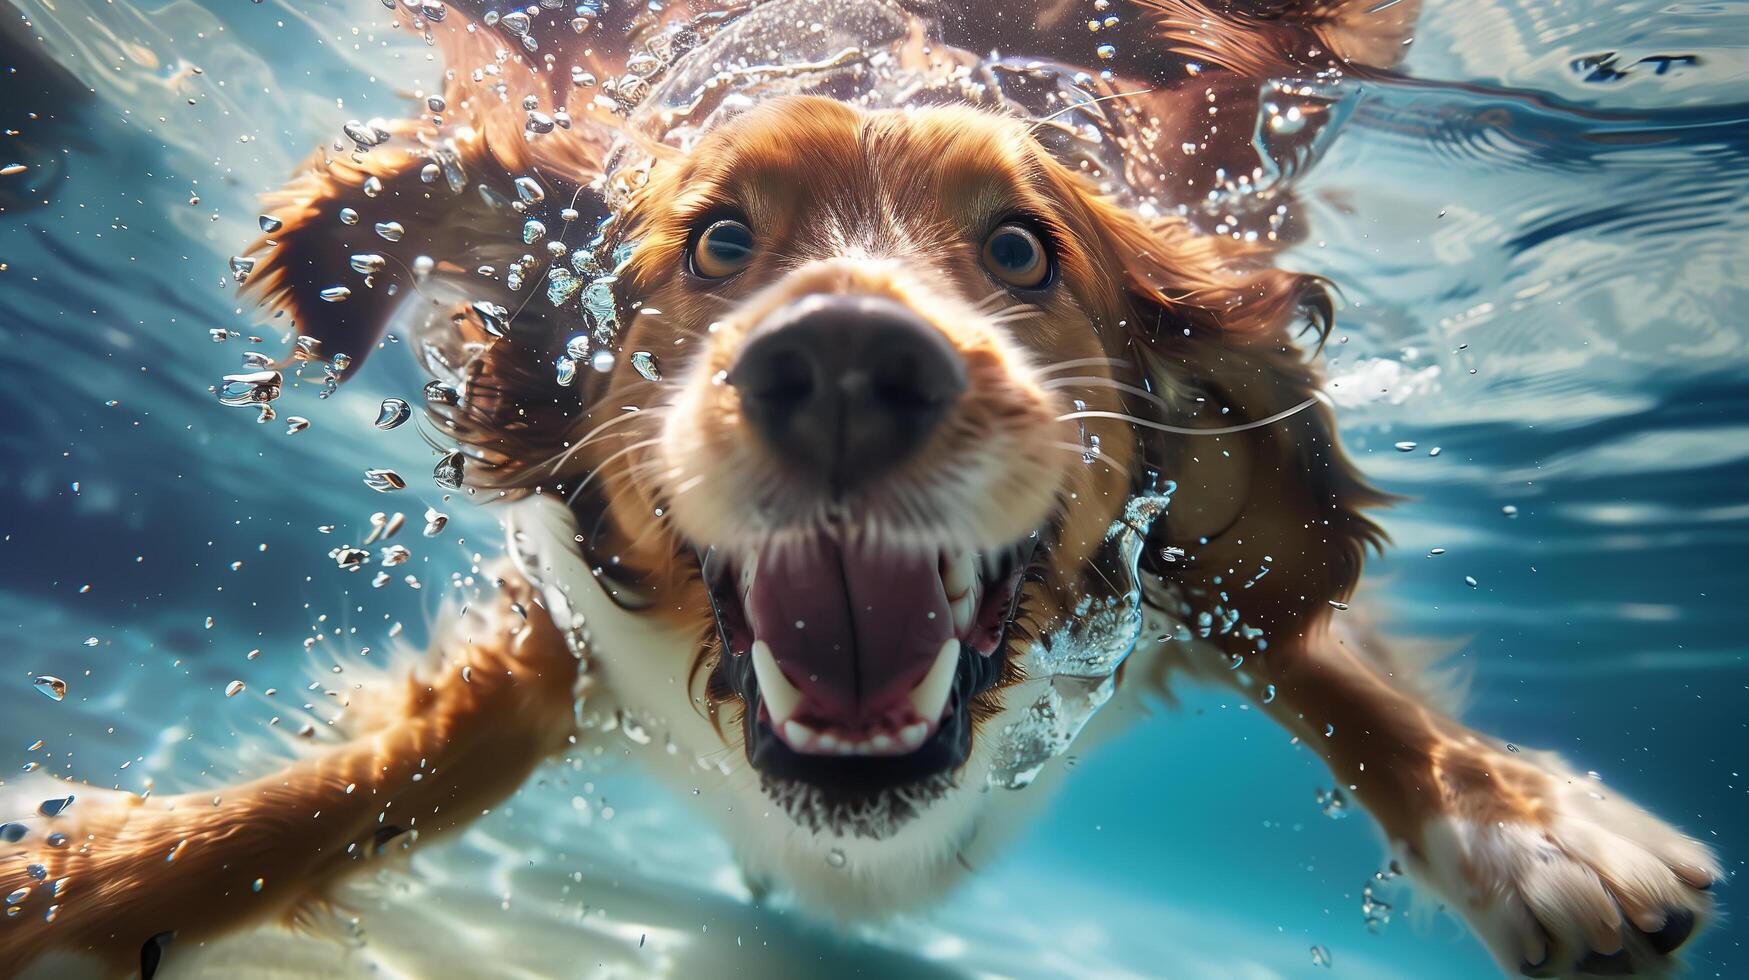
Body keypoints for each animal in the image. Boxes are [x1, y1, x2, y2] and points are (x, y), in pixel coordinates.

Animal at [3, 0, 1721, 973]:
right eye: (716, 240)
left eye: (1023, 247)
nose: (840, 363)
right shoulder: (563, 643)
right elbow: (356, 793)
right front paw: (84, 874)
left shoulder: (1179, 590)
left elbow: (1324, 659)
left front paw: (1532, 830)